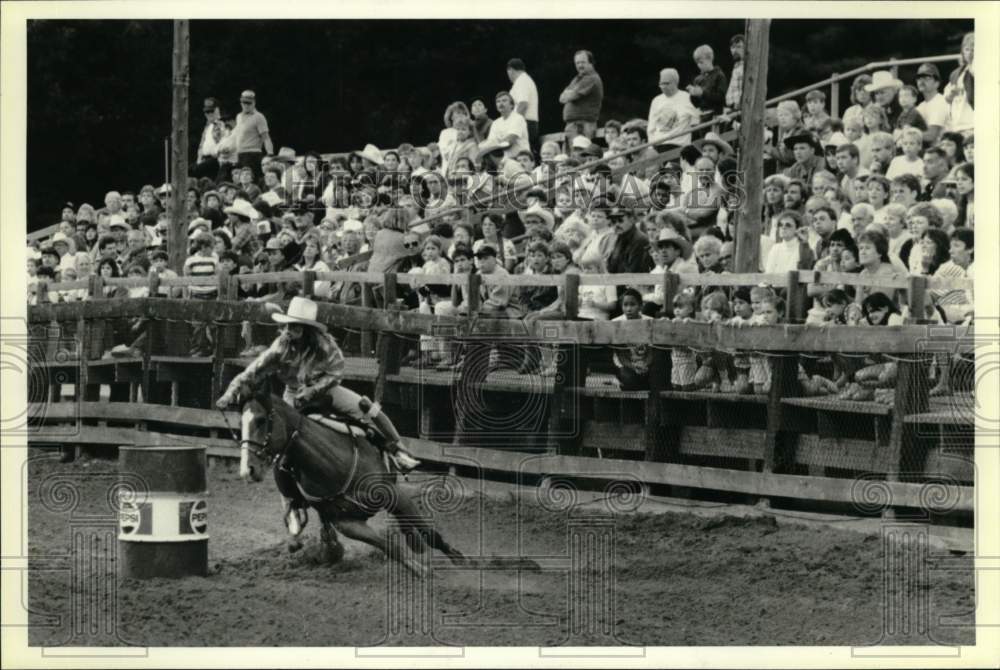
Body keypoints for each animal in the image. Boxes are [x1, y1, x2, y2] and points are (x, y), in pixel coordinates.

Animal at [236, 390, 467, 579]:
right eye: (241, 425)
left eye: (260, 420)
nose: (248, 469)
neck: (334, 464)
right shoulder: (347, 523)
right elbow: (388, 546)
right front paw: (419, 570)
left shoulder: (395, 495)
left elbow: (430, 533)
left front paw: (458, 558)